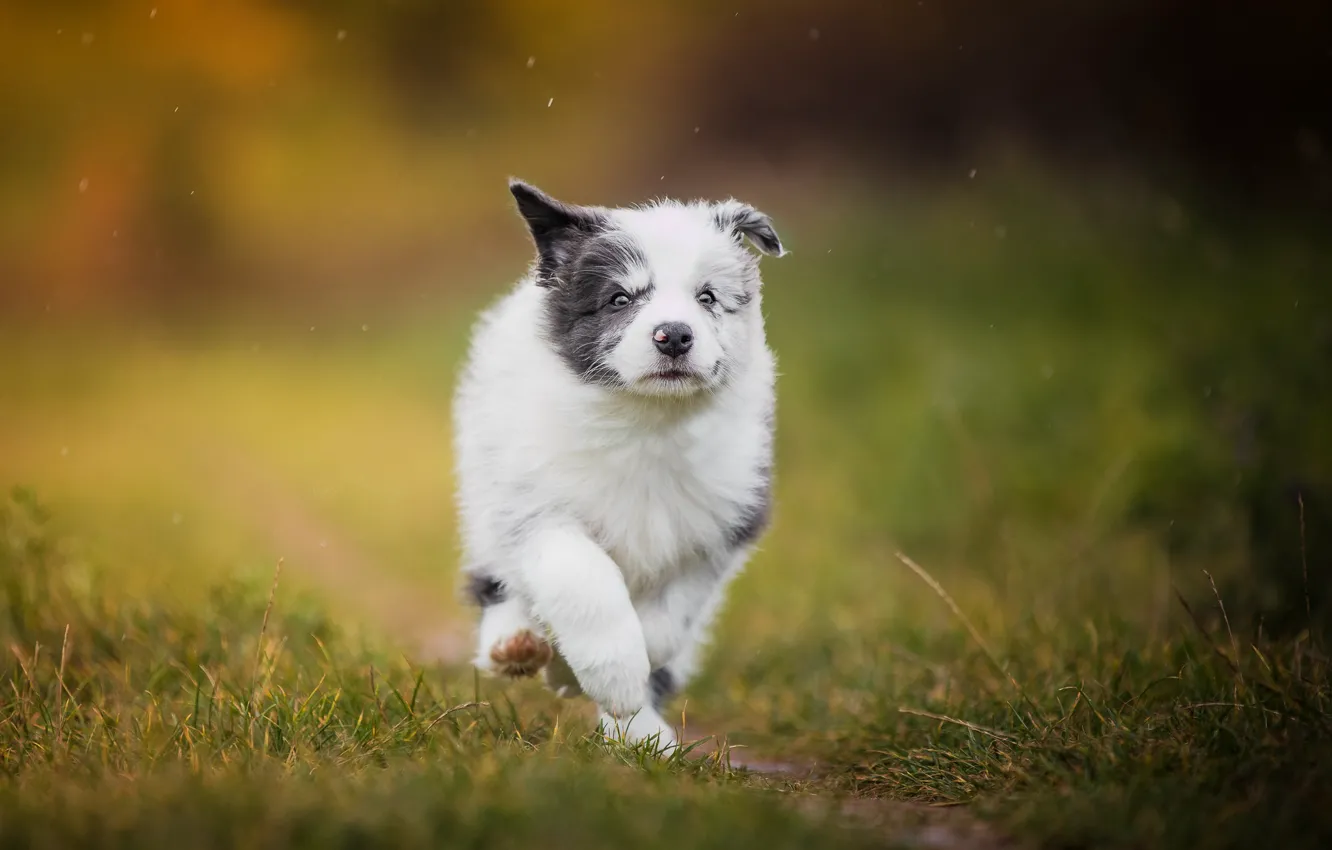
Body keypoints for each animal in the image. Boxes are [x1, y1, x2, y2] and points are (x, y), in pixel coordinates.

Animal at [452, 181, 783, 751]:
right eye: (620, 299)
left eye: (707, 297)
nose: (674, 335)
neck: (647, 420)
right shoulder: (537, 505)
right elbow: (584, 581)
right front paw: (611, 675)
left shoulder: (721, 522)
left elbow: (669, 619)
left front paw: (614, 692)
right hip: (486, 487)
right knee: (496, 573)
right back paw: (513, 643)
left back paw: (646, 737)